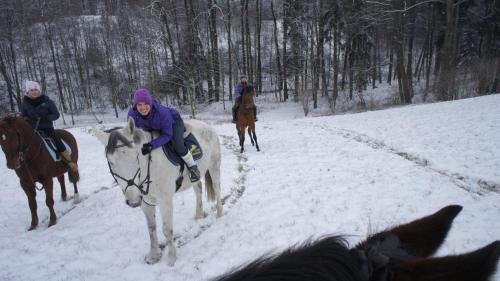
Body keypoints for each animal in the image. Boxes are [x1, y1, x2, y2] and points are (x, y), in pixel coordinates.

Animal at [94, 116, 223, 264]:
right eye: (111, 162)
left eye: (136, 156)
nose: (133, 200)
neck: (149, 166)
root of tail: (207, 126)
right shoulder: (145, 202)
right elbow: (151, 228)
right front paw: (153, 255)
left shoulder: (165, 201)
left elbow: (167, 229)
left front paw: (171, 258)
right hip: (196, 176)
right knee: (198, 191)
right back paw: (198, 215)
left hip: (214, 166)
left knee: (217, 189)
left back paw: (220, 213)